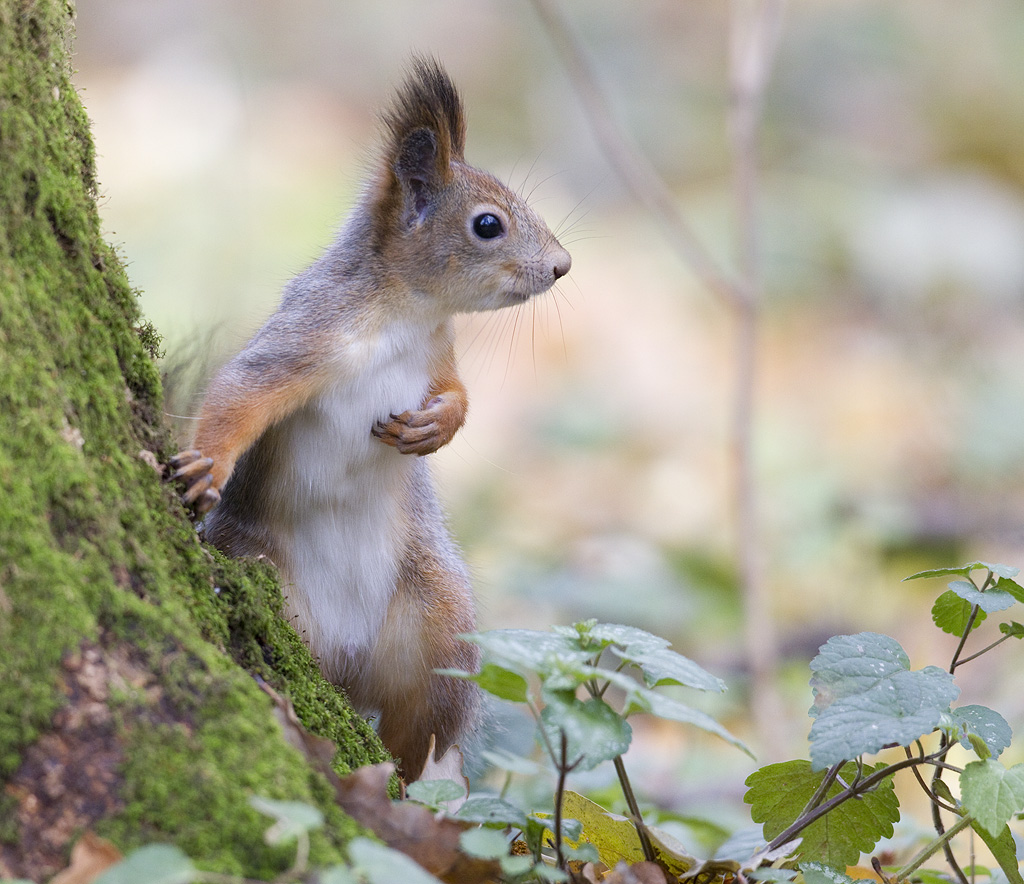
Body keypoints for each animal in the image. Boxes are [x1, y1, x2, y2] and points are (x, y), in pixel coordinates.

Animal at [167, 58, 569, 782]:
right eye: (487, 224)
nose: (562, 266)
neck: (403, 315)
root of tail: (348, 661)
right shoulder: (305, 336)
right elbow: (241, 392)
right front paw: (206, 466)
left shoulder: (439, 354)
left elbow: (458, 394)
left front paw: (435, 428)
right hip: (265, 575)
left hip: (438, 618)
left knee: (422, 729)